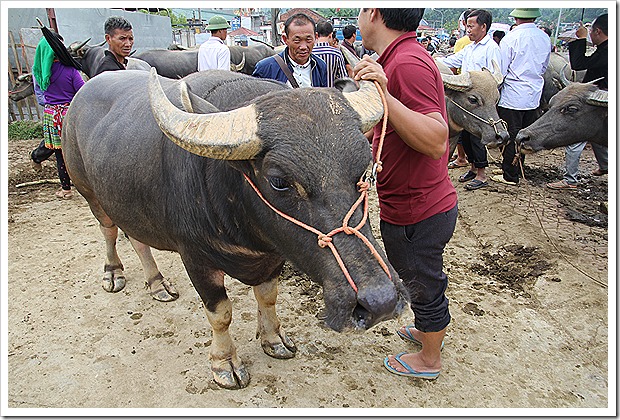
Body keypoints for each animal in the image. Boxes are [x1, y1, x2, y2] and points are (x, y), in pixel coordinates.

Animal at [63, 67, 410, 388]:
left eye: (365, 170)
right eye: (279, 181)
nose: (380, 301)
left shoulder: (274, 256)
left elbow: (268, 297)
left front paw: (274, 339)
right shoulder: (196, 258)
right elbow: (220, 314)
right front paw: (225, 363)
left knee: (137, 238)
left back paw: (157, 283)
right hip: (90, 193)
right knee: (109, 231)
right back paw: (113, 273)